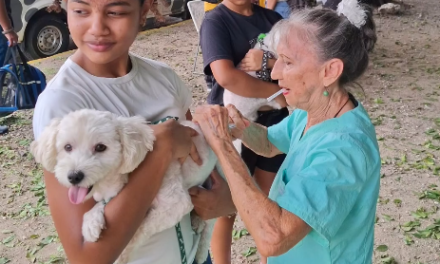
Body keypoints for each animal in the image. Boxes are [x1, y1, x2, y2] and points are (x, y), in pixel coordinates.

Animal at [31, 108, 220, 262]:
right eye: (68, 147)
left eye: (100, 147)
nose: (74, 176)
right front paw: (91, 222)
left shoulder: (176, 203)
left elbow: (140, 230)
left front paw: (122, 256)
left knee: (210, 226)